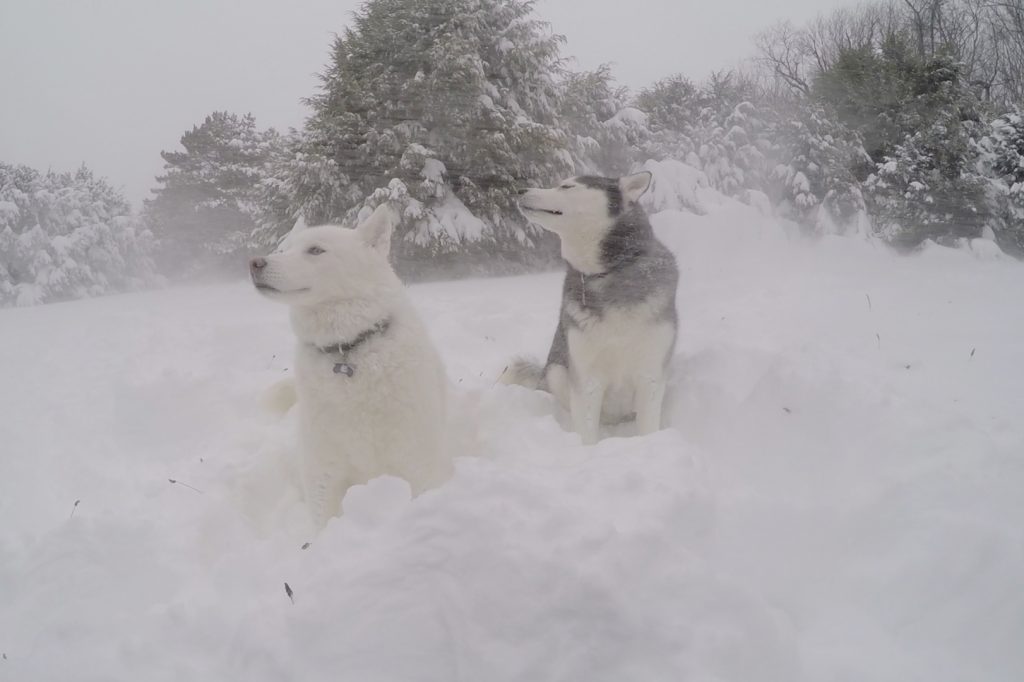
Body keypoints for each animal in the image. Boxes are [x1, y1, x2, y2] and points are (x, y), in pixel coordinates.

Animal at [249, 204, 450, 522]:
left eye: (316, 250)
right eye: (285, 248)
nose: (254, 262)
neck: (348, 349)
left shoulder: (422, 465)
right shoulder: (323, 475)